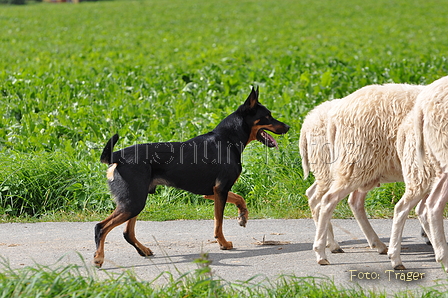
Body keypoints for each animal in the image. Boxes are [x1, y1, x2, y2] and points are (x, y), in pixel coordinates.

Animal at [94, 87, 290, 266]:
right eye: (268, 116)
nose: (288, 127)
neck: (227, 139)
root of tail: (117, 156)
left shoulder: (212, 191)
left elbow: (239, 198)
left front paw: (243, 216)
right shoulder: (220, 189)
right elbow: (219, 222)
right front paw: (223, 243)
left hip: (135, 200)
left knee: (127, 232)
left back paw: (143, 250)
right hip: (133, 202)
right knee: (101, 227)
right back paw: (99, 258)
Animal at [312, 83, 424, 266]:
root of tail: (336, 113)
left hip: (358, 170)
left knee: (350, 201)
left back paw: (376, 244)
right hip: (355, 162)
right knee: (327, 200)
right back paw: (323, 251)